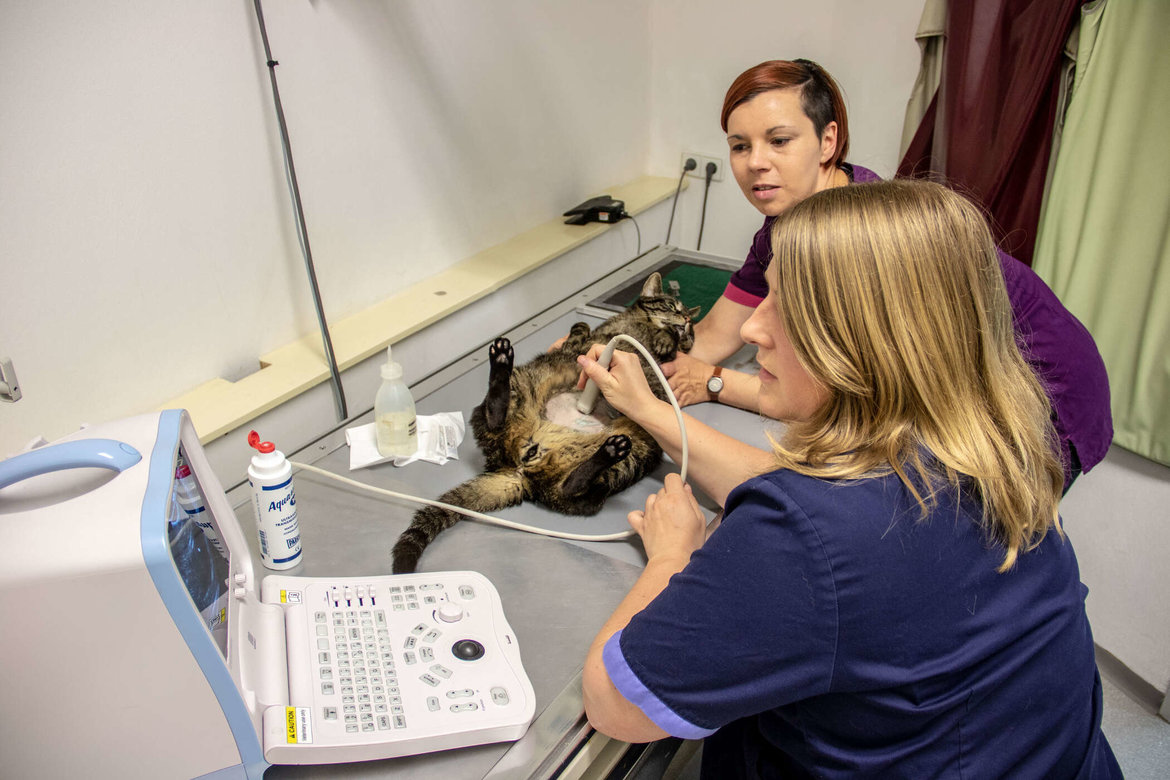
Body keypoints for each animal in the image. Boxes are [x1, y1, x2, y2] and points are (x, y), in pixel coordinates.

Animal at [393, 273, 697, 573]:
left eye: (690, 323)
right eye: (672, 305)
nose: (686, 319)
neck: (639, 323)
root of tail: (519, 466)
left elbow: (675, 347)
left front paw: (668, 338)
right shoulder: (586, 342)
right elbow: (581, 328)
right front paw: (663, 333)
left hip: (638, 452)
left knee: (572, 491)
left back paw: (607, 453)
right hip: (527, 378)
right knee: (495, 416)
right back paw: (500, 365)